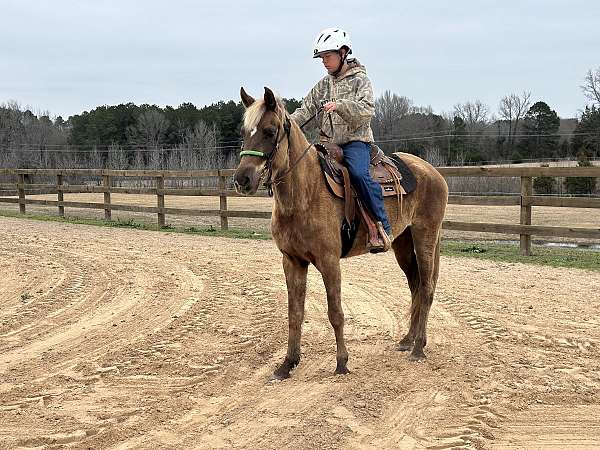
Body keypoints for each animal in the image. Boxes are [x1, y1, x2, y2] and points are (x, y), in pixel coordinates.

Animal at [232, 85, 448, 380]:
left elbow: (335, 312)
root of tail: (433, 172)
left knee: (426, 288)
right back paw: (407, 340)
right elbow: (294, 313)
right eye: (244, 131)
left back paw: (418, 348)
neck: (305, 193)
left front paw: (342, 362)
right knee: (415, 286)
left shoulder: (329, 262)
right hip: (403, 243)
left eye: (269, 130)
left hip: (425, 235)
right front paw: (288, 363)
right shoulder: (292, 261)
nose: (242, 179)